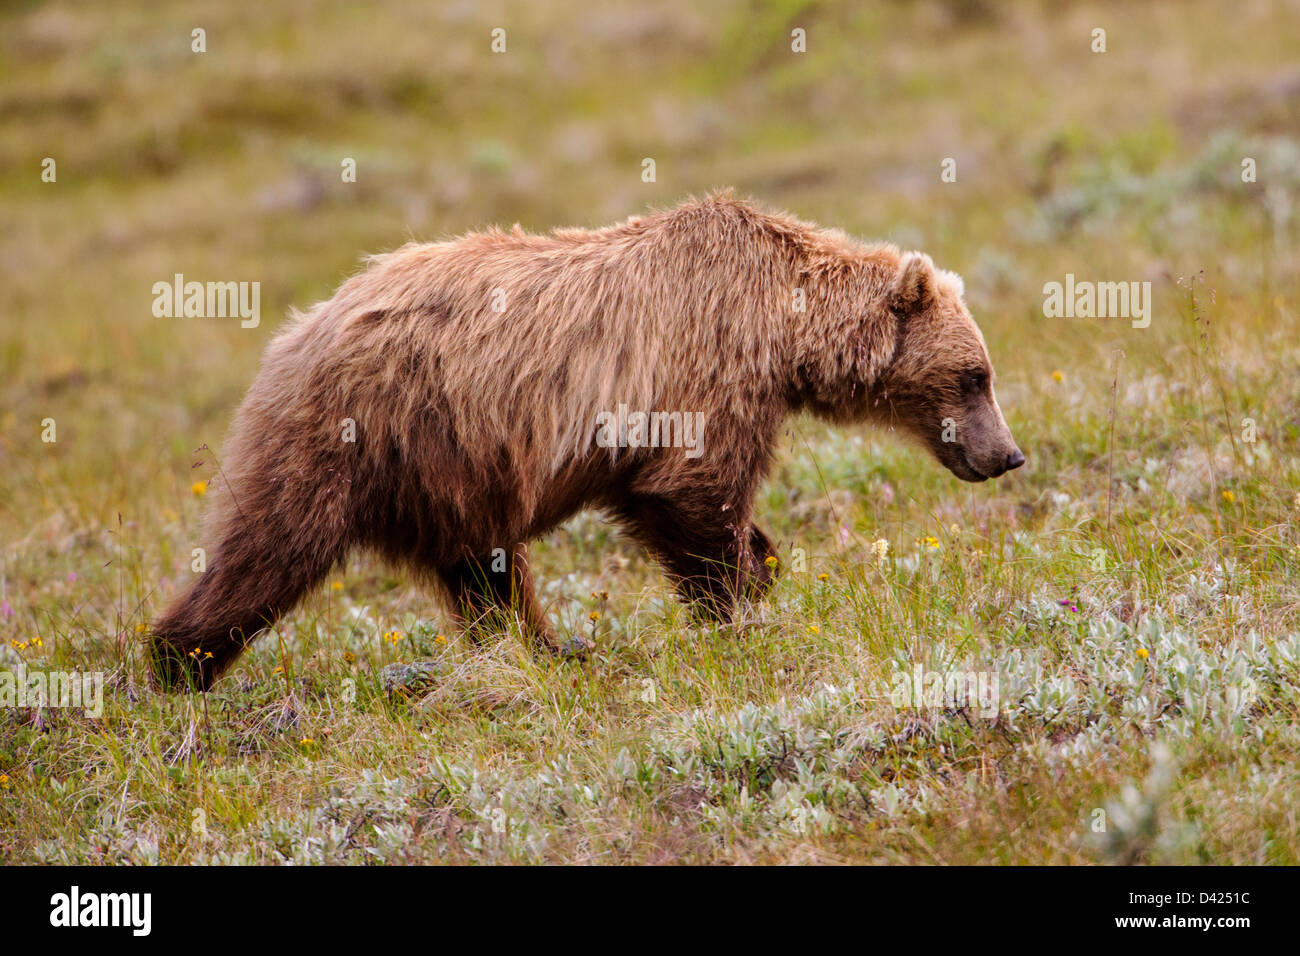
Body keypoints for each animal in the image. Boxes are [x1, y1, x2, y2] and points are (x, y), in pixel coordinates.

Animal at [152, 192, 1024, 686]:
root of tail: (294, 334)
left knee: (484, 570)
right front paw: (738, 601)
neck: (781, 323)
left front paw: (763, 565)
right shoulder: (702, 374)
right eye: (975, 375)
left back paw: (546, 650)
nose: (1006, 454)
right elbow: (692, 492)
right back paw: (176, 664)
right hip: (358, 435)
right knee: (269, 550)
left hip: (448, 464)